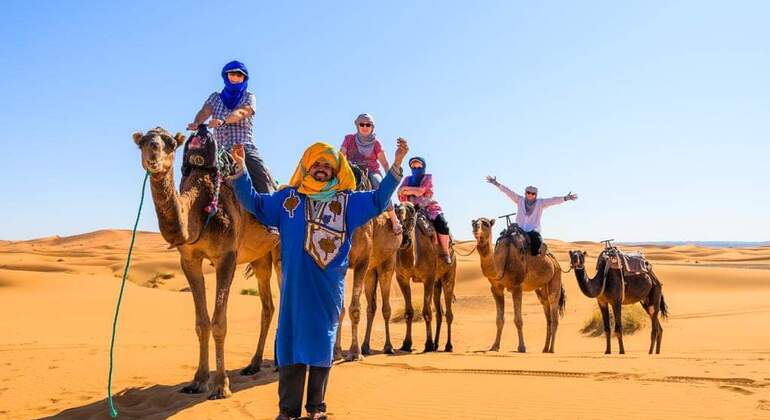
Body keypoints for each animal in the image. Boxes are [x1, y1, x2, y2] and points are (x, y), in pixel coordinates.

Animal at [134, 128, 280, 400]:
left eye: (170, 143)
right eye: (143, 143)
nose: (153, 152)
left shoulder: (227, 256)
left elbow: (219, 322)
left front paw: (221, 386)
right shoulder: (188, 259)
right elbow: (201, 323)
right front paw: (198, 381)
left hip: (280, 249)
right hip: (260, 258)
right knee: (268, 305)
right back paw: (253, 364)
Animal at [392, 202, 452, 352]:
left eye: (412, 213)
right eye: (396, 213)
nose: (404, 238)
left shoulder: (428, 278)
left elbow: (427, 312)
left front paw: (428, 344)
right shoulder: (402, 278)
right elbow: (408, 312)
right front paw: (406, 344)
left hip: (449, 275)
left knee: (448, 312)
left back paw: (448, 345)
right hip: (437, 283)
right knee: (439, 313)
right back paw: (437, 344)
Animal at [468, 218, 564, 352]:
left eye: (486, 224)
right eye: (474, 223)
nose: (476, 228)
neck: (501, 263)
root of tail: (555, 261)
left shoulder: (517, 287)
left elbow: (518, 320)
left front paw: (522, 347)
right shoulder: (496, 288)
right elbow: (499, 320)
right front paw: (495, 346)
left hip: (556, 278)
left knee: (554, 309)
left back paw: (551, 350)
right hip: (541, 289)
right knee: (547, 313)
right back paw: (544, 349)